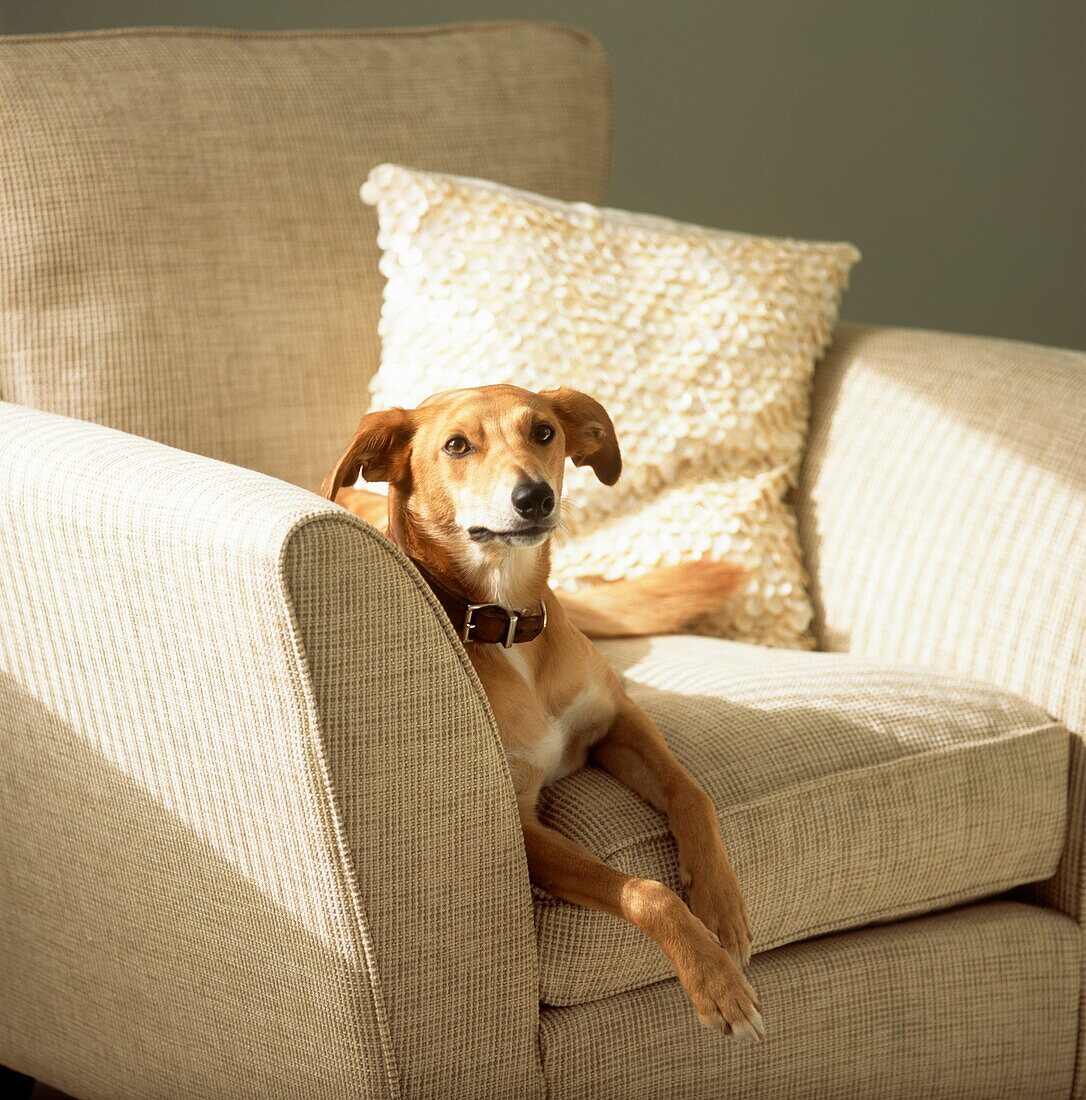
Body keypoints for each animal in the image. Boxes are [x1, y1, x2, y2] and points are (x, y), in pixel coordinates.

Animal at [323, 382, 765, 1034]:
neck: (509, 622)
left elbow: (692, 794)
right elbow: (645, 892)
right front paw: (715, 980)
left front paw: (721, 904)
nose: (535, 497)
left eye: (543, 432)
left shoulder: (618, 720)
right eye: (456, 445)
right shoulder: (524, 828)